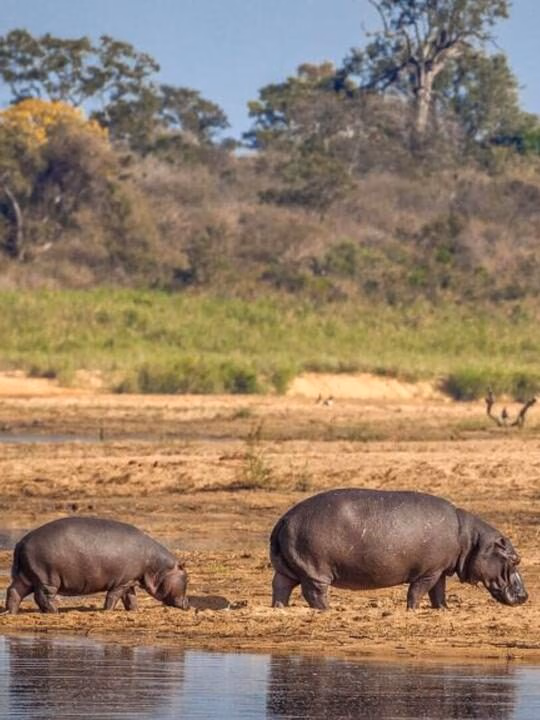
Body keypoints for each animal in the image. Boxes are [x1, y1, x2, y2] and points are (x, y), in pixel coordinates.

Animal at [3, 517, 189, 614]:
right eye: (186, 578)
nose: (188, 604)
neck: (158, 566)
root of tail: (21, 542)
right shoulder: (123, 582)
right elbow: (113, 596)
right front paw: (107, 611)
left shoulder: (130, 581)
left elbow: (130, 598)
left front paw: (135, 611)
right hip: (46, 578)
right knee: (42, 596)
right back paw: (54, 612)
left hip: (27, 576)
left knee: (14, 591)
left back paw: (11, 612)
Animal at [270, 489, 528, 610]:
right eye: (514, 559)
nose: (525, 596)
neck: (471, 540)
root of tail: (284, 518)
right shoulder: (428, 572)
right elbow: (418, 592)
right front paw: (413, 610)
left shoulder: (439, 570)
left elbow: (438, 593)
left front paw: (443, 609)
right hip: (315, 570)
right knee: (314, 593)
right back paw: (327, 610)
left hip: (289, 568)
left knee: (281, 586)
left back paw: (280, 608)